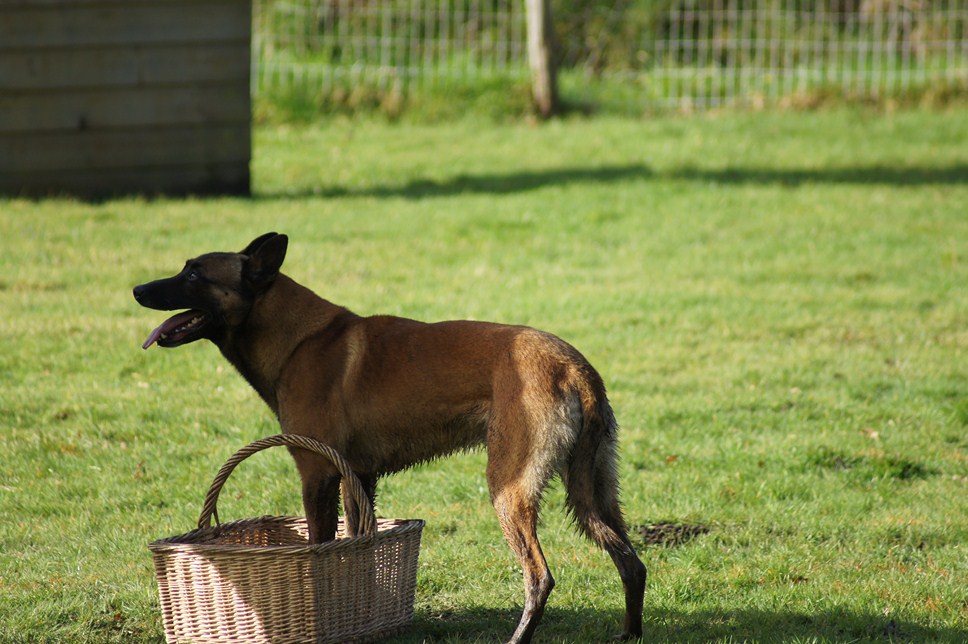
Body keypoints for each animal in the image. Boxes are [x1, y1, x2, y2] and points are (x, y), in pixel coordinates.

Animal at [132, 234, 648, 640]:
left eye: (194, 273)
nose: (138, 289)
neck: (298, 338)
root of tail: (573, 366)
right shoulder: (358, 479)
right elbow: (358, 546)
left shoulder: (317, 476)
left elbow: (320, 543)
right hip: (593, 493)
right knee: (632, 563)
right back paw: (629, 634)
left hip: (509, 490)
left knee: (540, 578)